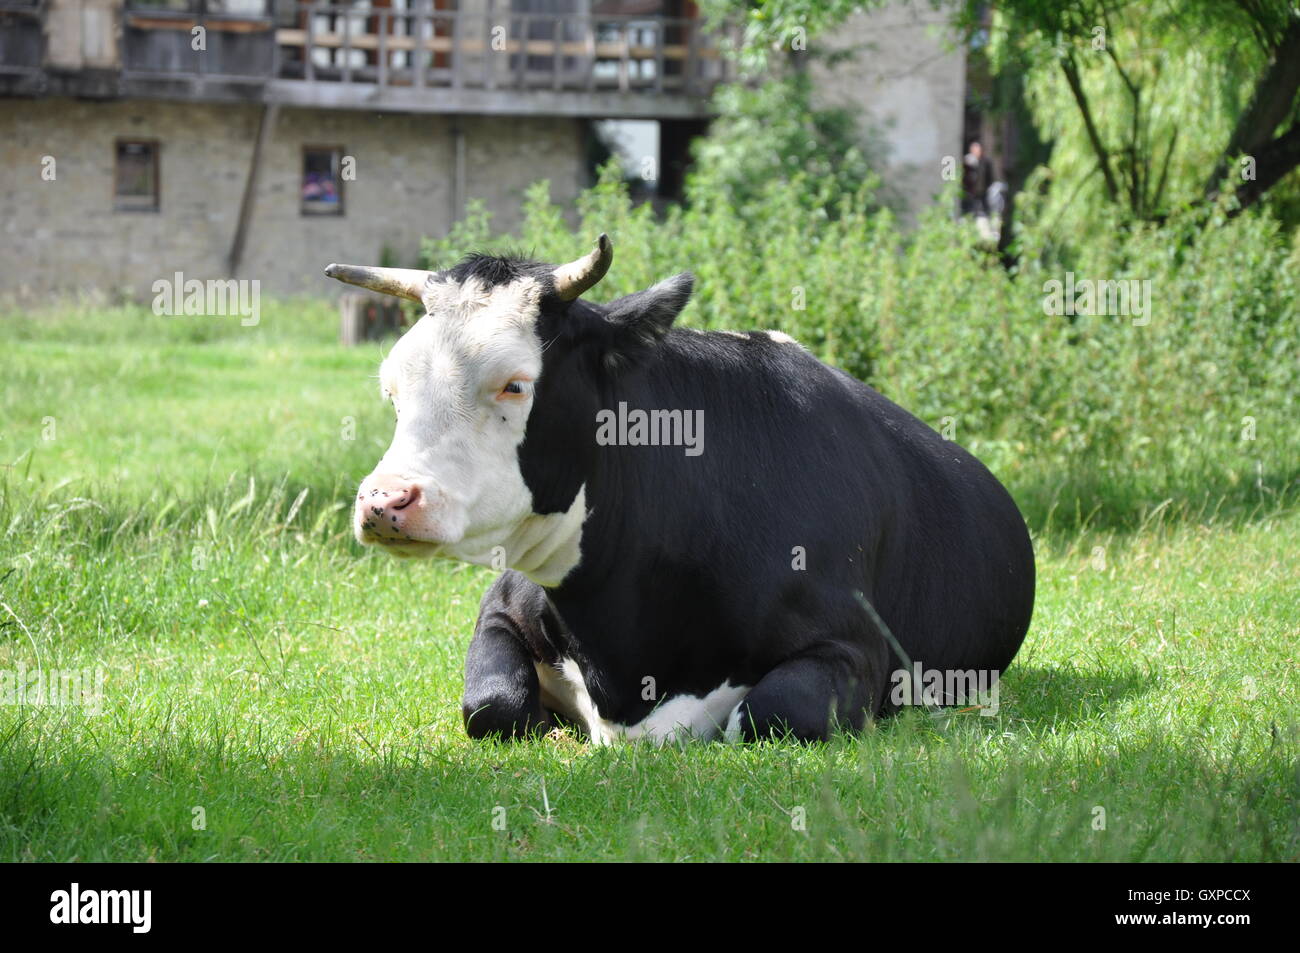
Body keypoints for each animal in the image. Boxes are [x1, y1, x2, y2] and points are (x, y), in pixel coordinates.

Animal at [327, 237, 1034, 743]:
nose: (385, 501)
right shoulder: (502, 604)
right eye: (393, 389)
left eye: (514, 384)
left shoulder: (855, 642)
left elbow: (774, 713)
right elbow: (491, 704)